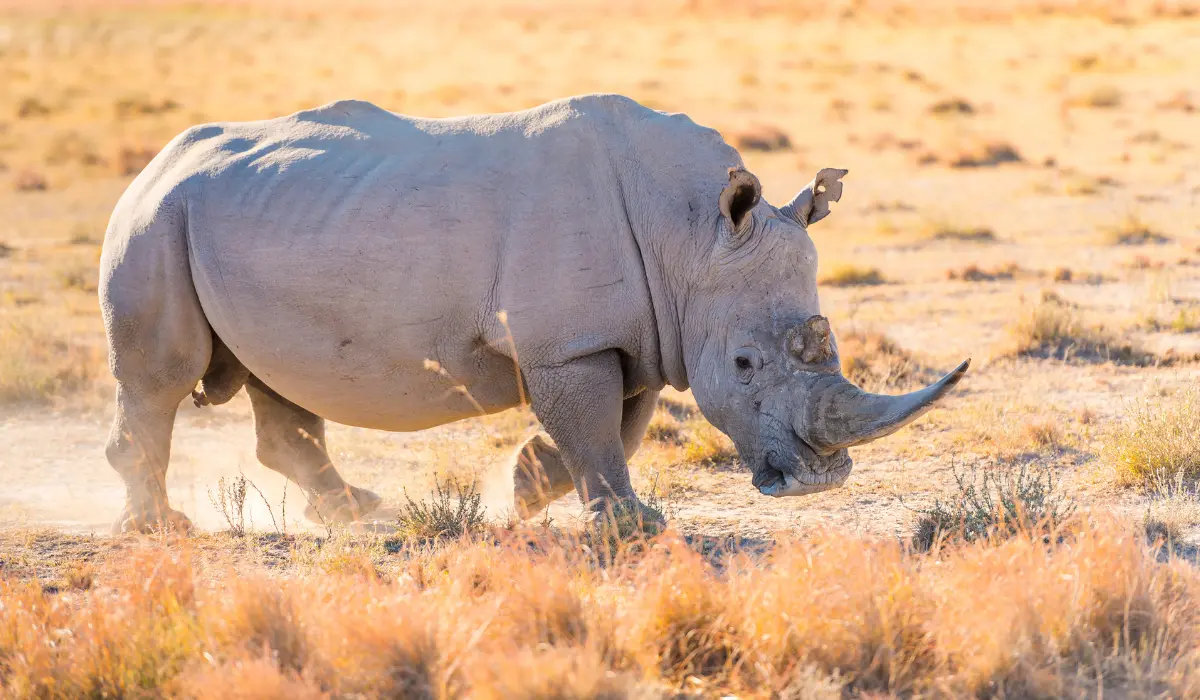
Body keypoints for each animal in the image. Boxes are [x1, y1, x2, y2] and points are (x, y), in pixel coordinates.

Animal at [99, 94, 968, 533]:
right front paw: (634, 527)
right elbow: (596, 427)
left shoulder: (632, 334)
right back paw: (161, 530)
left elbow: (615, 425)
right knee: (161, 378)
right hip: (156, 220)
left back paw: (355, 512)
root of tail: (155, 163)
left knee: (278, 380)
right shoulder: (570, 342)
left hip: (237, 222)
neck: (692, 236)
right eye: (745, 365)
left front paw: (525, 491)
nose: (819, 483)